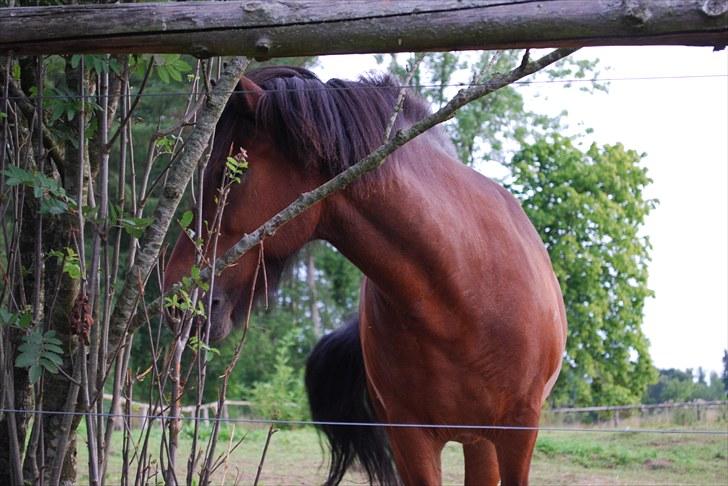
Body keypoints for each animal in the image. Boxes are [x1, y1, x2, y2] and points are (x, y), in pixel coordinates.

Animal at [166, 67, 568, 486]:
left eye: (230, 174)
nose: (176, 296)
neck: (461, 296)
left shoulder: (517, 432)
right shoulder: (409, 438)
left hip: (482, 441)